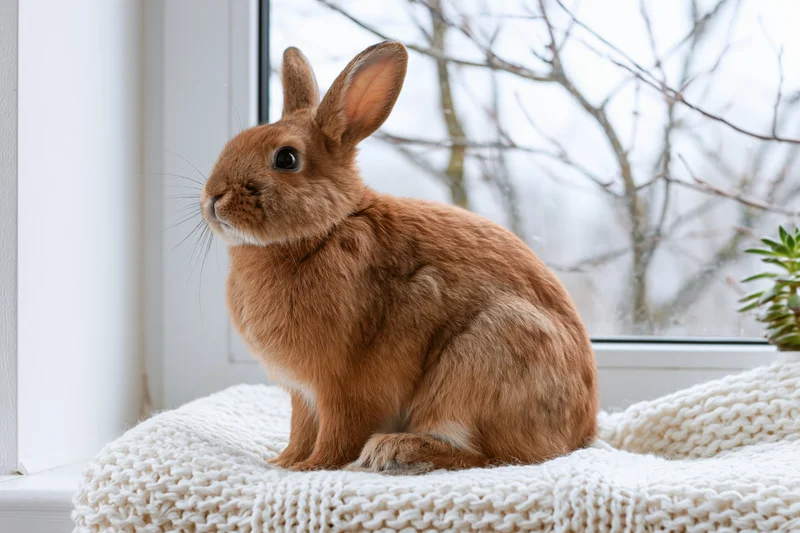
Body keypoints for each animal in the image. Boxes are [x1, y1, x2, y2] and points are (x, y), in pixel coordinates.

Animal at [200, 41, 598, 474]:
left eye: (285, 159)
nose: (213, 197)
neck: (325, 231)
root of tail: (583, 431)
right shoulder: (303, 395)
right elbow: (301, 429)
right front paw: (283, 462)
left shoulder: (342, 386)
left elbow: (337, 435)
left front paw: (312, 467)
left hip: (483, 360)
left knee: (490, 456)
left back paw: (394, 450)